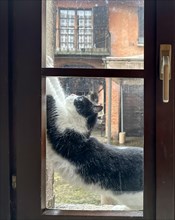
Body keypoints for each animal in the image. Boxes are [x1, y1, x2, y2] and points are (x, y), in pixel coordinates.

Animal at [46, 77, 144, 210]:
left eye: (80, 100)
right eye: (78, 96)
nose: (72, 94)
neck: (77, 127)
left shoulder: (58, 125)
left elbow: (52, 96)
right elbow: (57, 90)